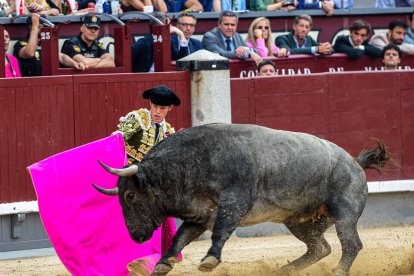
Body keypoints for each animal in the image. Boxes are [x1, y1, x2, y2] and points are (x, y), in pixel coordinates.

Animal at [93, 124, 388, 274]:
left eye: (130, 195)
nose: (136, 236)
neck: (191, 163)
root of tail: (354, 162)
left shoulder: (233, 205)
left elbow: (220, 232)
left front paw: (209, 260)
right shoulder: (199, 215)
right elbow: (179, 238)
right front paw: (163, 263)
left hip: (344, 214)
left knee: (350, 244)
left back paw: (338, 271)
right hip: (299, 221)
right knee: (319, 247)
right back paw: (284, 270)